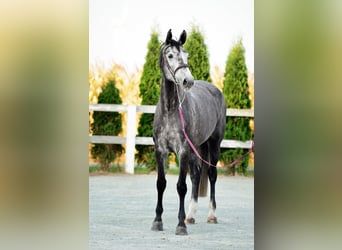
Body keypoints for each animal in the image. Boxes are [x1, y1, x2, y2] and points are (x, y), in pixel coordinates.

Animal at [151, 29, 226, 236]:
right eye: (170, 55)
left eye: (186, 55)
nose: (188, 81)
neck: (170, 110)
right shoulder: (160, 151)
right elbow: (161, 184)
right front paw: (157, 221)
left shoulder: (183, 150)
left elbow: (181, 186)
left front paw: (180, 225)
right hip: (197, 147)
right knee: (196, 174)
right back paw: (190, 215)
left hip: (214, 144)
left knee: (212, 174)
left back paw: (211, 215)